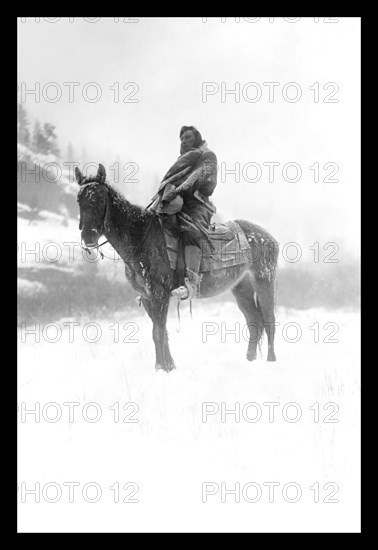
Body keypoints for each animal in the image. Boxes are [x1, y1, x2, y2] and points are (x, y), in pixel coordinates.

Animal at [75, 162, 280, 374]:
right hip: (241, 287)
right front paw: (169, 366)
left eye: (99, 199)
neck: (141, 238)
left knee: (269, 320)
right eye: (79, 199)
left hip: (264, 281)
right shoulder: (148, 297)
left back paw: (271, 362)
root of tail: (267, 237)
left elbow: (157, 332)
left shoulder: (159, 294)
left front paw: (161, 368)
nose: (88, 238)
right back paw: (250, 360)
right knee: (254, 321)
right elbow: (161, 331)